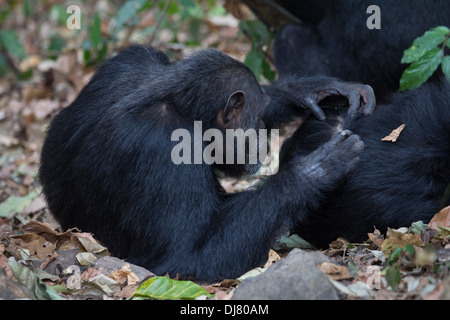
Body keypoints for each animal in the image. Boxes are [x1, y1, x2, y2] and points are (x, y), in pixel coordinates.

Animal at [39, 45, 376, 280]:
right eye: (255, 120)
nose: (263, 135)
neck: (184, 112)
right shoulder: (161, 147)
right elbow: (185, 257)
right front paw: (316, 170)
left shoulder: (127, 60)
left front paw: (312, 90)